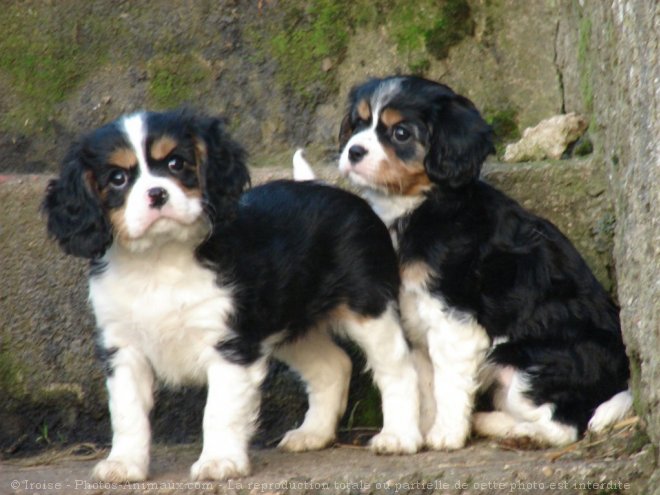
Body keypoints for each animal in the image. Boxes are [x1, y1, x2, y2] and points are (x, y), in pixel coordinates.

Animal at [43, 109, 420, 484]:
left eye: (177, 163)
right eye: (118, 178)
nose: (157, 194)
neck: (159, 258)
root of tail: (324, 187)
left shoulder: (230, 345)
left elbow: (218, 410)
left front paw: (219, 461)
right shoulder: (122, 348)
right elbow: (127, 413)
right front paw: (124, 465)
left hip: (368, 307)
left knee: (398, 367)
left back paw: (399, 436)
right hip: (288, 326)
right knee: (334, 366)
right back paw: (313, 434)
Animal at [332, 75, 632, 452]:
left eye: (401, 133)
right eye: (357, 124)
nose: (353, 151)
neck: (414, 206)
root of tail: (623, 377)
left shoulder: (453, 319)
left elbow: (447, 383)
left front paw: (445, 434)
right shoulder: (413, 320)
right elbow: (424, 382)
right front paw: (414, 431)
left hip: (526, 366)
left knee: (564, 425)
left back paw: (511, 430)